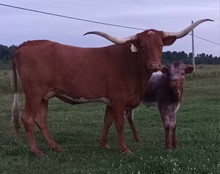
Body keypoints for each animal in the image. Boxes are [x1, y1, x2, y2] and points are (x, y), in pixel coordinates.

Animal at [11, 19, 211, 155]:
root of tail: (27, 44)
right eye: (142, 46)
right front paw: (124, 149)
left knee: (41, 120)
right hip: (34, 93)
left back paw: (55, 147)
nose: (155, 66)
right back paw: (36, 151)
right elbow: (119, 123)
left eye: (161, 45)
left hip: (45, 96)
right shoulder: (118, 99)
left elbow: (107, 121)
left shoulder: (110, 101)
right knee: (27, 118)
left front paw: (104, 144)